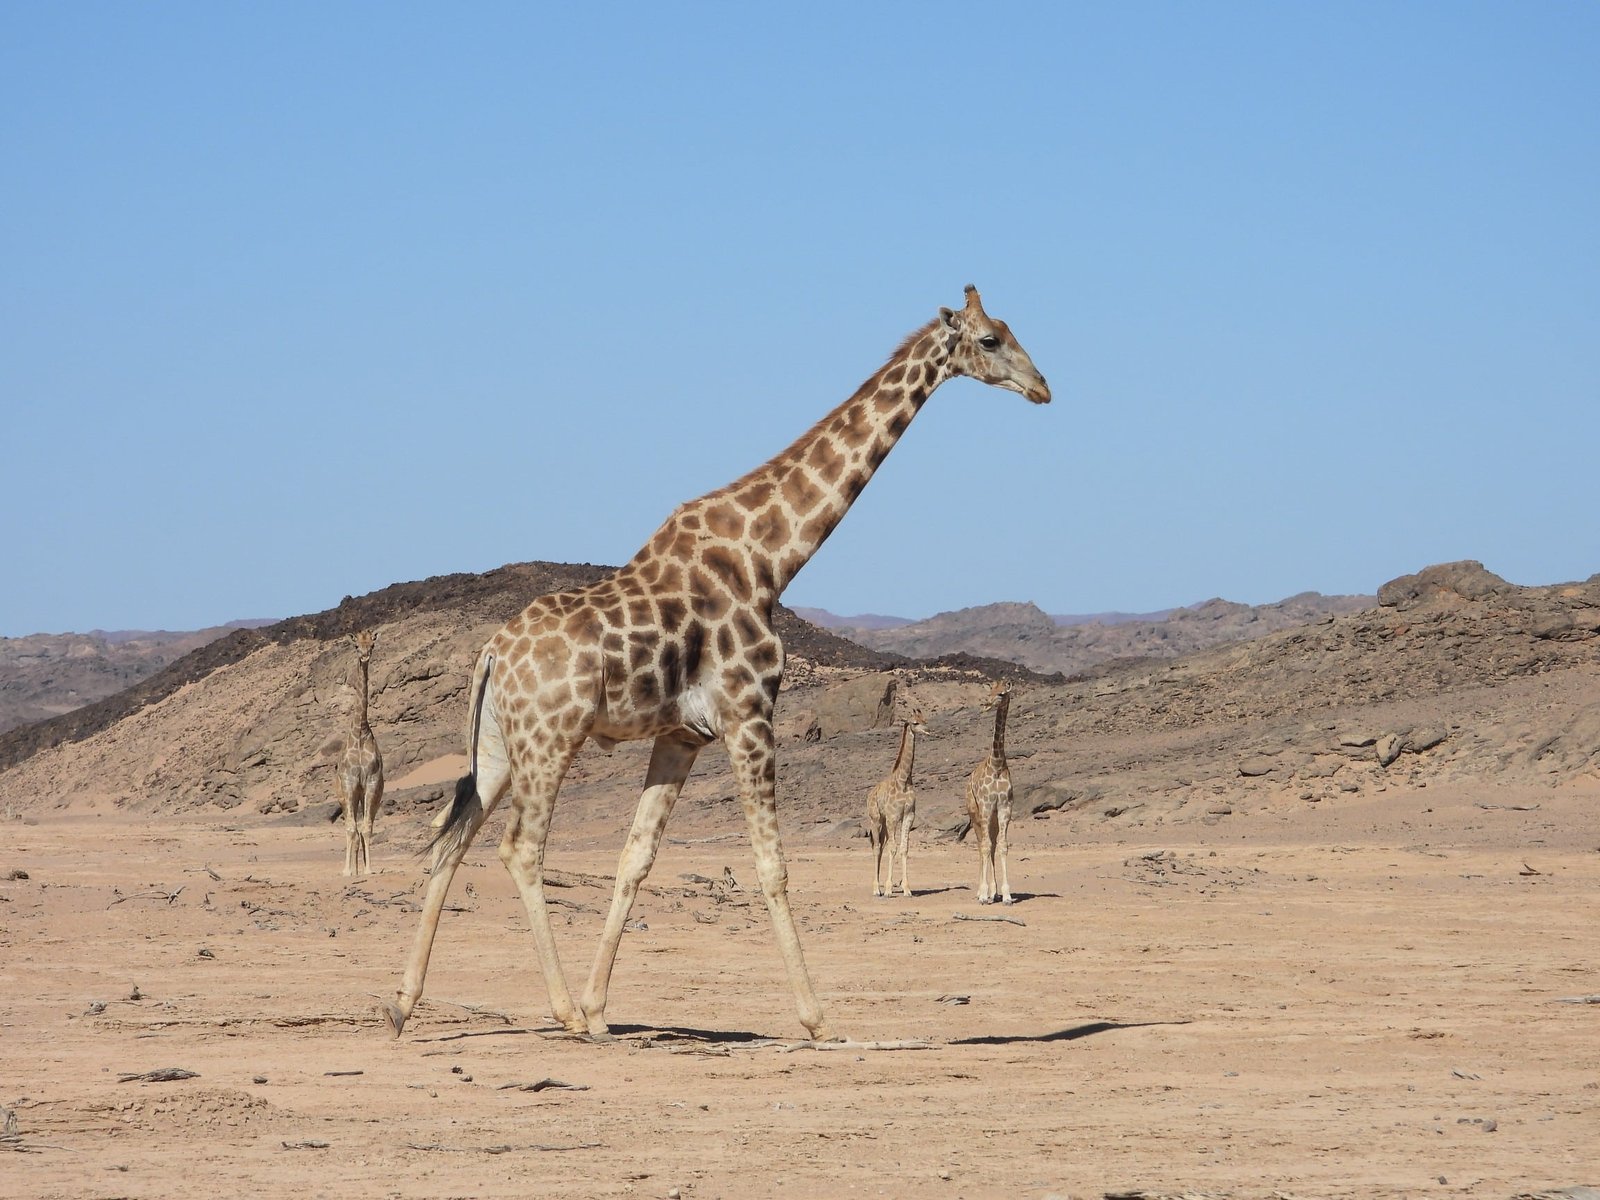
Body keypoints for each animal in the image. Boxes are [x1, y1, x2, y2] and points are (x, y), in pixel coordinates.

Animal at [870, 710, 934, 896]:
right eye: (915, 722)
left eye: (925, 719)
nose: (928, 730)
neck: (904, 781)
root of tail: (870, 794)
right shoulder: (893, 817)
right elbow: (893, 848)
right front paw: (888, 889)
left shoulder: (908, 815)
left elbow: (904, 849)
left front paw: (906, 888)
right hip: (876, 820)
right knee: (877, 847)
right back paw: (876, 889)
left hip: (884, 824)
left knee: (881, 846)